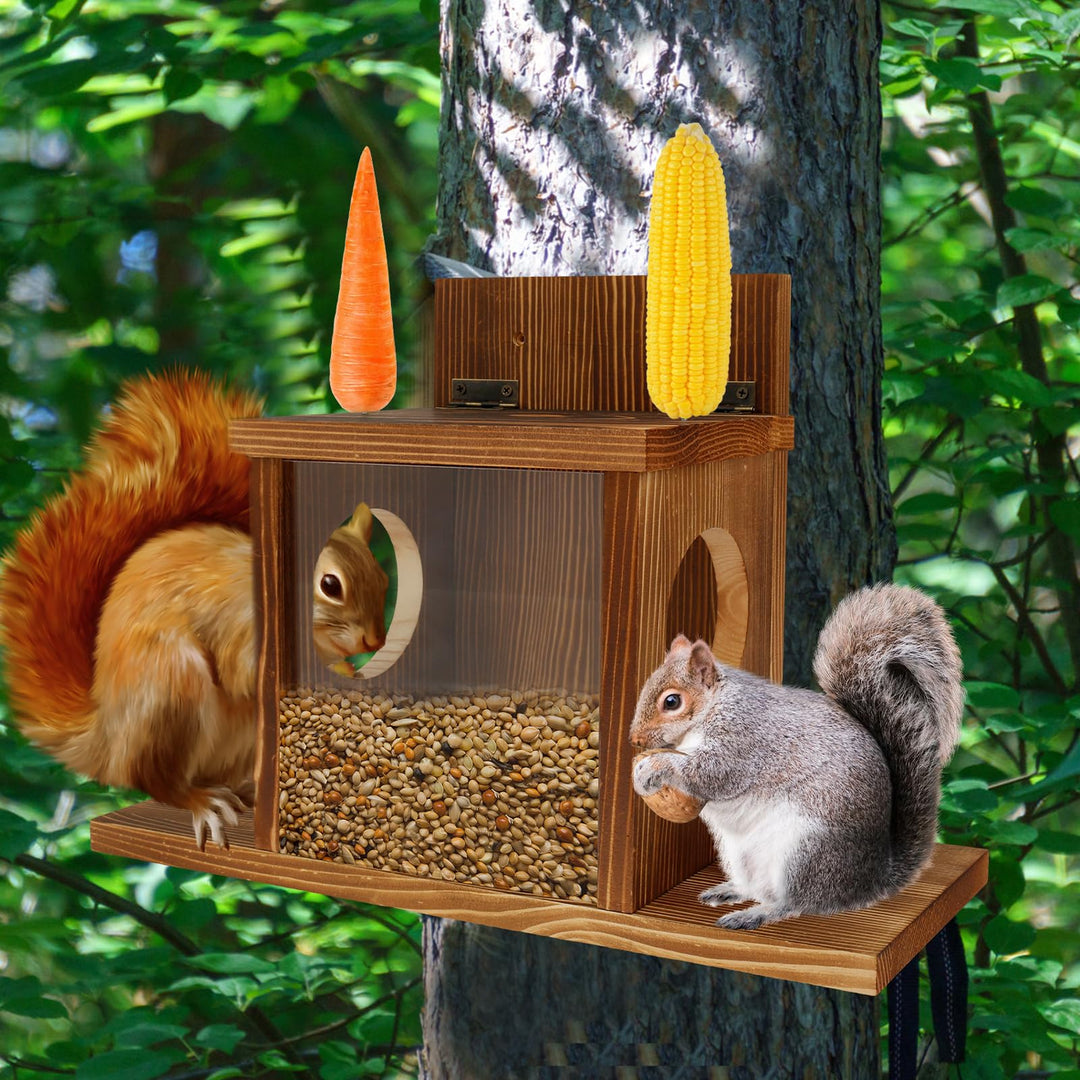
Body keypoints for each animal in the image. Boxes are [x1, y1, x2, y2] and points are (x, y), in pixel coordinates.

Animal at [0, 371, 389, 850]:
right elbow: (245, 673)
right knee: (158, 780)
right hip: (170, 687)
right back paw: (203, 802)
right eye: (330, 585)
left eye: (383, 578)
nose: (376, 640)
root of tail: (108, 739)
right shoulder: (240, 625)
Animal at [630, 583, 964, 930]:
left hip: (806, 853)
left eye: (672, 701)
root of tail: (870, 880)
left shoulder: (743, 740)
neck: (713, 708)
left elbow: (711, 773)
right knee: (756, 887)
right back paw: (732, 891)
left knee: (797, 902)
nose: (634, 739)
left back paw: (756, 913)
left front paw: (653, 767)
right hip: (738, 853)